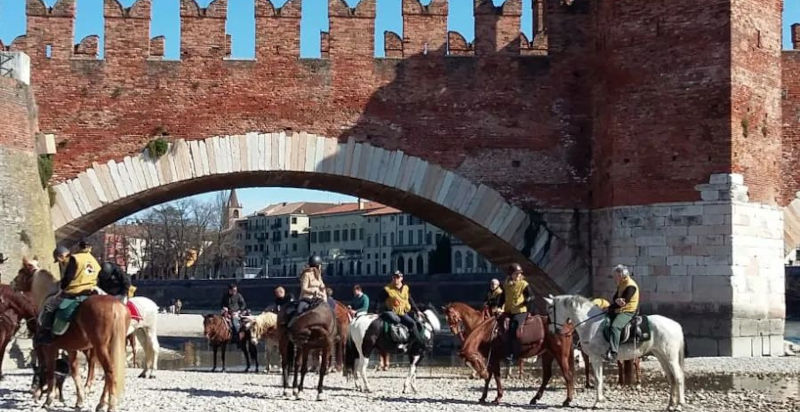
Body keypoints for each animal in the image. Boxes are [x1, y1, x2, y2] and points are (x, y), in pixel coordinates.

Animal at [545, 295, 686, 410]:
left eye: (550, 310)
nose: (552, 331)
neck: (590, 324)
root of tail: (675, 324)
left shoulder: (595, 358)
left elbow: (597, 379)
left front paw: (597, 402)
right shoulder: (597, 359)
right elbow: (600, 379)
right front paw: (600, 400)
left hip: (670, 358)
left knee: (678, 376)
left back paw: (679, 405)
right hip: (661, 356)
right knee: (671, 377)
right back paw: (670, 405)